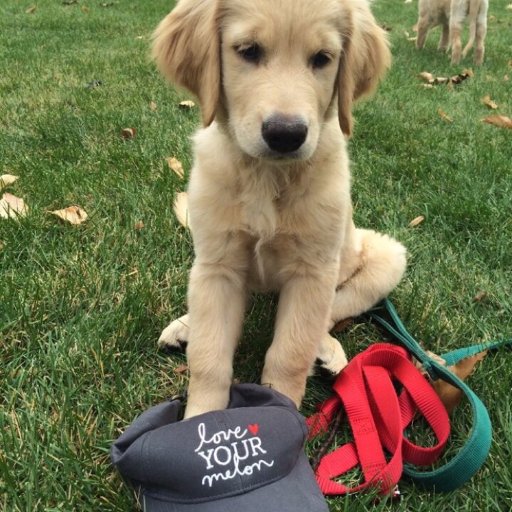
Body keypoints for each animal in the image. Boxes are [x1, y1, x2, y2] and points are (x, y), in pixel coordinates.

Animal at [150, 0, 406, 418]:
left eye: (322, 59)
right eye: (249, 51)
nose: (286, 134)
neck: (266, 176)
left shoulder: (312, 272)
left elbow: (290, 352)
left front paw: (281, 409)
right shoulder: (217, 265)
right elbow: (209, 355)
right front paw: (202, 418)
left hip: (386, 256)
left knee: (330, 313)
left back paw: (329, 351)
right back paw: (185, 326)